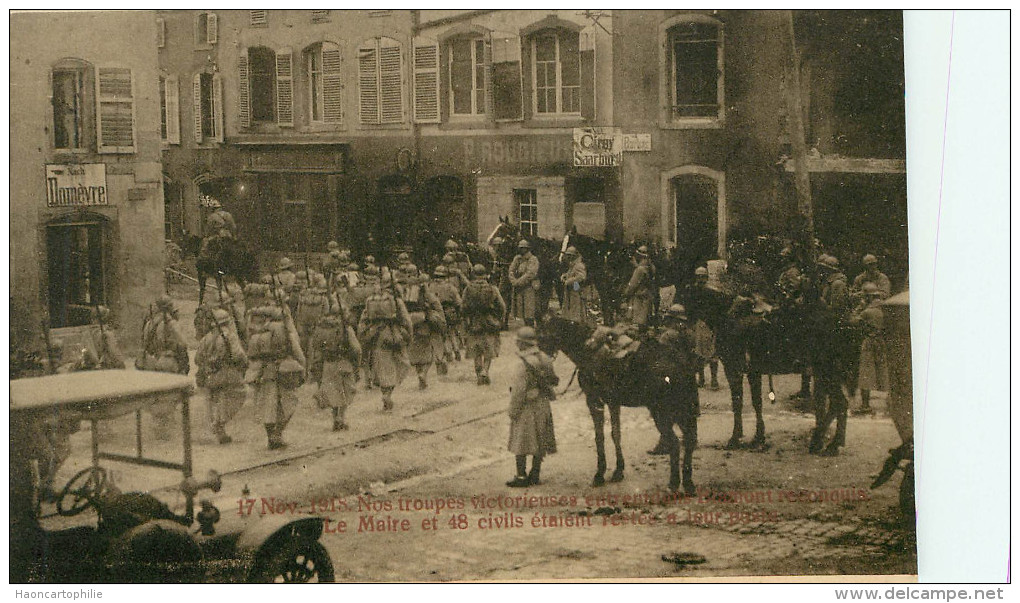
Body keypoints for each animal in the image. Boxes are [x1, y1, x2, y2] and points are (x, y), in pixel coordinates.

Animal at [534, 316, 701, 495]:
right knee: (689, 441)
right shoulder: (613, 402)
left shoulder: (594, 401)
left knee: (675, 444)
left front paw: (599, 474)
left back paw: (673, 483)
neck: (588, 348)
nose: (542, 369)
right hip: (683, 411)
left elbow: (599, 436)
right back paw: (688, 483)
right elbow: (616, 434)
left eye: (541, 336)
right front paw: (618, 471)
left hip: (662, 413)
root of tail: (683, 365)